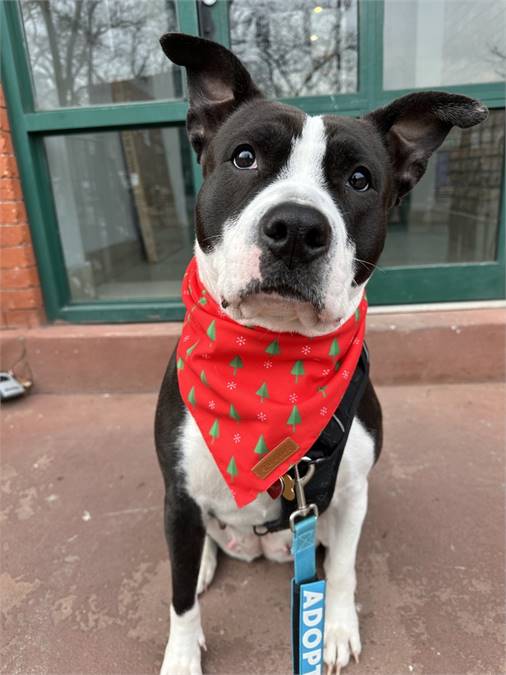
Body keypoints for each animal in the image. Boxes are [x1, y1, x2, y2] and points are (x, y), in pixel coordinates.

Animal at [153, 33, 486, 675]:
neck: (270, 360)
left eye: (359, 179)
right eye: (244, 158)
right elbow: (179, 598)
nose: (297, 228)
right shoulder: (179, 495)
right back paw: (205, 559)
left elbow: (344, 569)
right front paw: (181, 656)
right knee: (200, 542)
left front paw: (332, 627)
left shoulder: (351, 492)